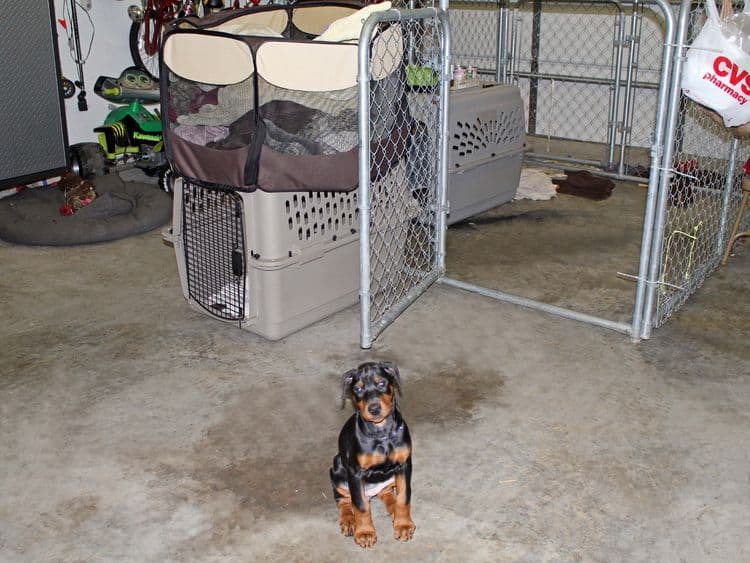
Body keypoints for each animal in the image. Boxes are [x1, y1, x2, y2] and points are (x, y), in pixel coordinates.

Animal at [332, 364, 418, 548]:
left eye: (382, 383)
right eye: (358, 388)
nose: (374, 409)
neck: (381, 433)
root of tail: (371, 492)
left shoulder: (404, 465)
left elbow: (404, 496)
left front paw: (403, 525)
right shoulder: (355, 472)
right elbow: (360, 505)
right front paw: (365, 532)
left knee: (387, 492)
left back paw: (393, 509)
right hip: (337, 469)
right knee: (344, 499)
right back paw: (349, 521)